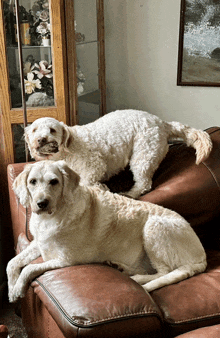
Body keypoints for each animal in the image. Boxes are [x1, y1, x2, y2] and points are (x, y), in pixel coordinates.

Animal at [6, 161, 206, 304]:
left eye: (54, 182)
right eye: (32, 182)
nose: (41, 203)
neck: (51, 217)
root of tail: (202, 257)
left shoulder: (67, 260)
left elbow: (30, 268)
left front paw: (18, 288)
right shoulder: (38, 243)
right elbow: (12, 262)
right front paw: (11, 287)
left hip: (153, 227)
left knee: (164, 272)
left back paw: (137, 279)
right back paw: (121, 268)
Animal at [23, 109, 211, 198]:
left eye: (52, 130)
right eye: (34, 130)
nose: (41, 140)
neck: (68, 148)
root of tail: (162, 123)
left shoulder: (94, 166)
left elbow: (88, 181)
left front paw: (100, 188)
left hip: (143, 155)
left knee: (144, 183)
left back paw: (130, 193)